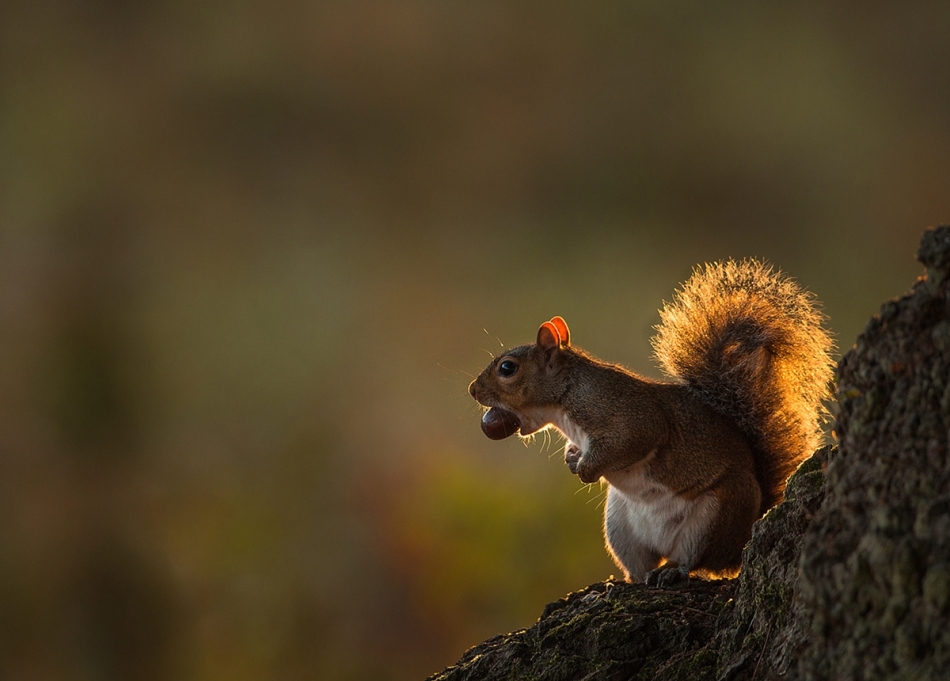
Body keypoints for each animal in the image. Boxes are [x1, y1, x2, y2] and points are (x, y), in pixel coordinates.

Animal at [468, 258, 832, 584]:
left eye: (507, 368)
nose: (472, 390)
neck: (567, 400)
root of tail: (742, 540)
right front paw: (572, 458)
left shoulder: (628, 418)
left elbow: (628, 441)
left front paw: (586, 469)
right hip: (620, 527)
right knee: (640, 568)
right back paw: (621, 583)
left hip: (713, 516)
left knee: (694, 560)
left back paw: (672, 571)